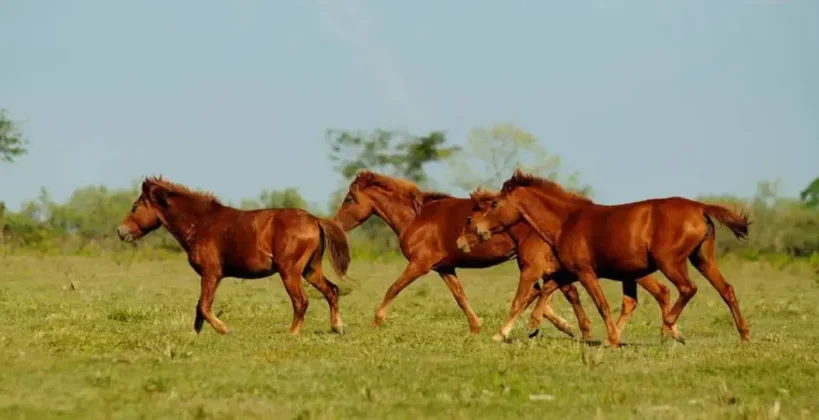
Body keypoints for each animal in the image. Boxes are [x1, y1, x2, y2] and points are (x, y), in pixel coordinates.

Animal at [117, 176, 350, 336]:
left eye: (135, 207)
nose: (121, 231)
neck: (201, 224)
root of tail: (316, 220)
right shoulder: (209, 276)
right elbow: (199, 307)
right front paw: (195, 334)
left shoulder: (211, 274)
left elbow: (204, 306)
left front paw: (224, 329)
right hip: (310, 269)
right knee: (332, 290)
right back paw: (337, 327)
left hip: (290, 272)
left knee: (301, 301)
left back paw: (292, 333)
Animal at [334, 169, 672, 336]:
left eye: (349, 198)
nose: (335, 224)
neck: (416, 219)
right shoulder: (445, 268)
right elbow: (460, 296)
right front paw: (477, 327)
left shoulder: (420, 264)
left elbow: (393, 288)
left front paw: (376, 321)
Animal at [462, 168, 748, 348]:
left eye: (495, 204)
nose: (476, 231)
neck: (567, 221)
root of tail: (700, 207)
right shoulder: (567, 271)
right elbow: (545, 292)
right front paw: (534, 325)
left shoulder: (584, 272)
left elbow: (600, 305)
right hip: (702, 260)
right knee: (726, 290)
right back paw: (744, 335)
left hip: (670, 263)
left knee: (687, 289)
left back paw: (668, 328)